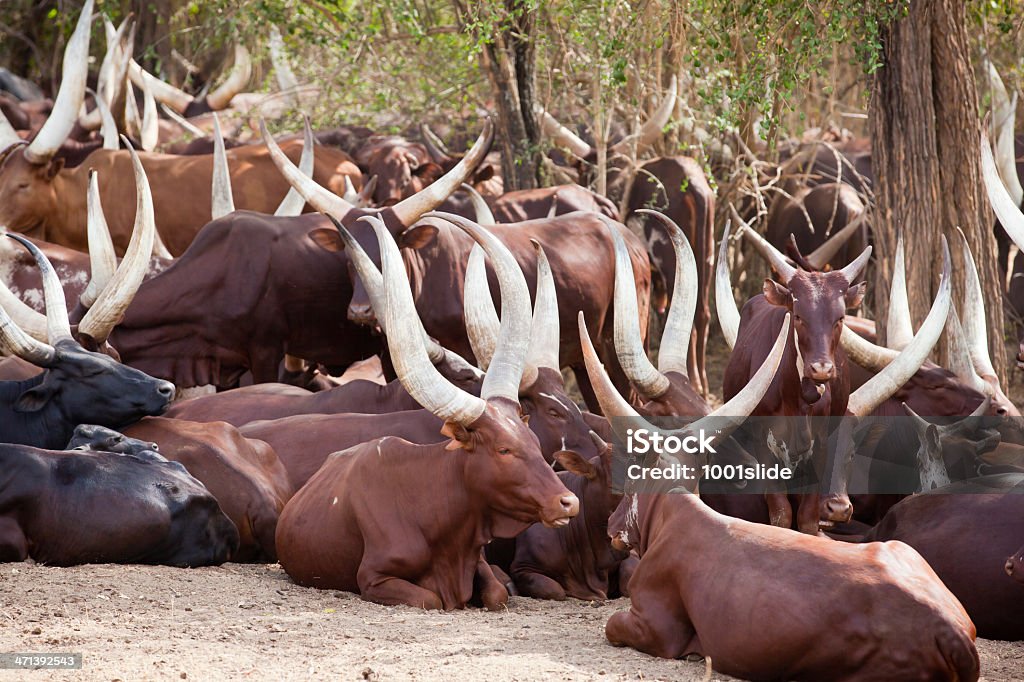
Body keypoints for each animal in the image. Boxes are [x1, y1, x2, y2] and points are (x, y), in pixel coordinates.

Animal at [602, 485, 978, 675]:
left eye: (625, 495)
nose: (609, 523)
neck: (669, 518)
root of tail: (950, 628)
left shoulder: (656, 628)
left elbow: (611, 625)